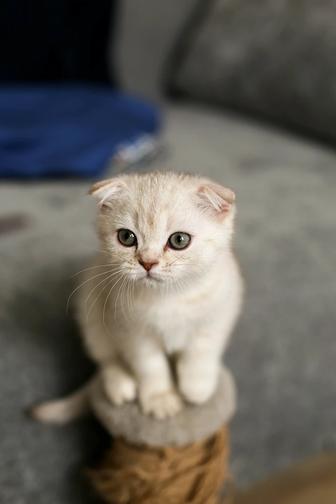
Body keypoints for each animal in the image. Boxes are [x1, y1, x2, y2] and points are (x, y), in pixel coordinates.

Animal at [32, 173, 243, 422]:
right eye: (126, 237)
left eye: (179, 240)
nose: (148, 262)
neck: (168, 297)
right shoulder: (132, 332)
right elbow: (150, 366)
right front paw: (160, 398)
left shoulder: (219, 313)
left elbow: (200, 351)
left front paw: (196, 388)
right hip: (90, 310)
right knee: (106, 357)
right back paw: (119, 384)